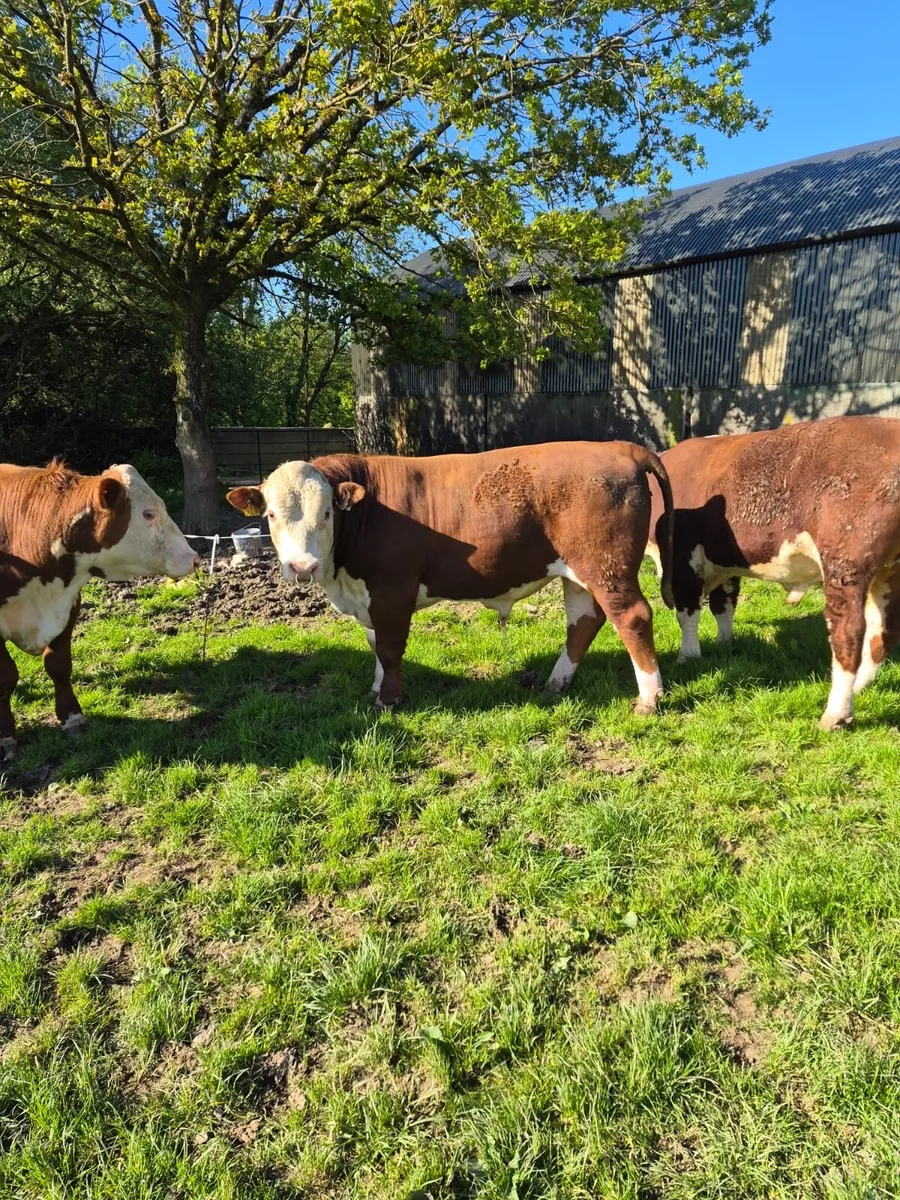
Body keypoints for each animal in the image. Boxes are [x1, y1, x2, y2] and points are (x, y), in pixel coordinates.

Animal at [0, 460, 198, 759]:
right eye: (148, 514)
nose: (194, 558)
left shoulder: (69, 604)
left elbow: (59, 665)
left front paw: (72, 718)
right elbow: (6, 678)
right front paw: (6, 737)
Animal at [226, 441, 675, 715]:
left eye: (325, 513)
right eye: (271, 515)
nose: (302, 567)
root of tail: (618, 447)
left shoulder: (392, 591)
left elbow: (389, 648)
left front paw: (388, 699)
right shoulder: (368, 598)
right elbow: (374, 647)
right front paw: (376, 689)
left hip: (607, 567)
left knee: (633, 618)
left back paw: (649, 698)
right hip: (577, 572)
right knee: (584, 622)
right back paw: (556, 682)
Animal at [647, 415, 900, 730]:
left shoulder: (684, 559)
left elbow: (687, 614)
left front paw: (689, 655)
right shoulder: (724, 562)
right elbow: (724, 605)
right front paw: (724, 644)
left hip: (846, 565)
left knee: (849, 632)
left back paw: (835, 713)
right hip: (886, 572)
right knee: (883, 631)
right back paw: (858, 688)